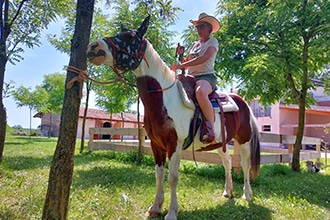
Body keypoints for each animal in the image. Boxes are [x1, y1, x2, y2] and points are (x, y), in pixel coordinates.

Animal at [87, 15, 260, 220]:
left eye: (129, 37)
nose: (93, 47)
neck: (165, 98)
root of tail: (243, 102)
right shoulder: (156, 145)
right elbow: (159, 175)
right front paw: (155, 207)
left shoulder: (174, 145)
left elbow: (172, 178)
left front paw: (171, 212)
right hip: (221, 143)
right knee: (227, 162)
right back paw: (227, 192)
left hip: (244, 140)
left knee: (245, 165)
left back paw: (247, 194)